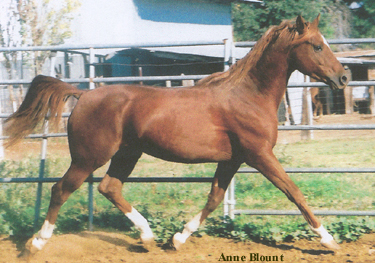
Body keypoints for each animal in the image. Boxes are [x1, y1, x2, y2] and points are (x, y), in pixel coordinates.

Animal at [4, 14, 348, 254]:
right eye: (317, 45)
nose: (343, 78)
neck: (248, 96)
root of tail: (83, 94)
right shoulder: (259, 155)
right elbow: (294, 191)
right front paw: (328, 240)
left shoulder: (233, 159)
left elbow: (214, 198)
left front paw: (178, 239)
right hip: (89, 157)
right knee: (61, 190)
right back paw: (36, 244)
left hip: (127, 153)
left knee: (109, 187)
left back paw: (148, 237)